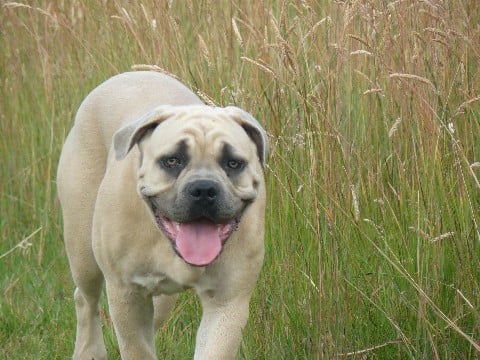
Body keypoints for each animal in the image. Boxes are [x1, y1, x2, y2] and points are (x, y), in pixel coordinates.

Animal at [57, 71, 268, 358]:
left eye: (233, 163)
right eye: (172, 160)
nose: (204, 189)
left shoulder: (227, 303)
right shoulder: (127, 294)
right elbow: (137, 349)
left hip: (161, 299)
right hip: (83, 251)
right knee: (86, 300)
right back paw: (88, 351)